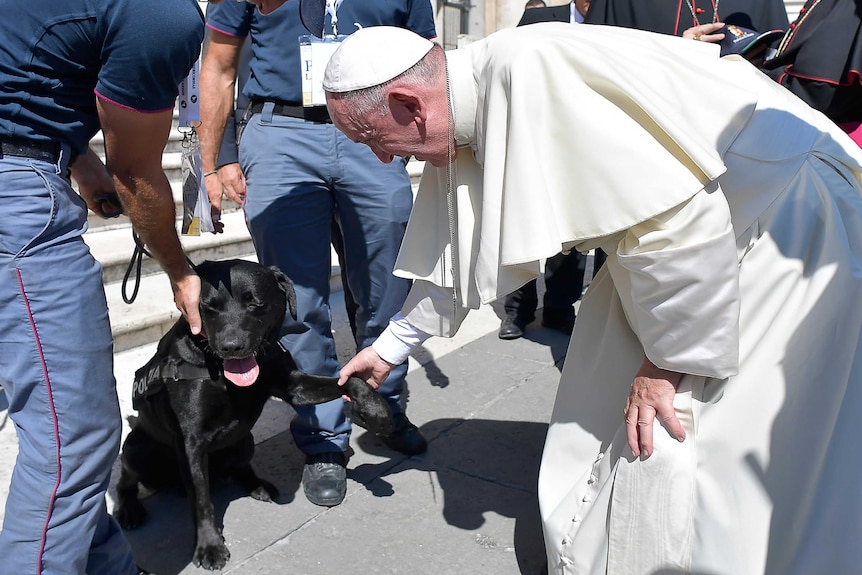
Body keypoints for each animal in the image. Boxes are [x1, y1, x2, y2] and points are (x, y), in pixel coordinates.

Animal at [113, 260, 394, 572]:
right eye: (208, 307)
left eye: (255, 304)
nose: (231, 346)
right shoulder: (191, 441)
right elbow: (201, 498)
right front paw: (209, 545)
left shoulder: (295, 387)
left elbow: (351, 380)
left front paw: (377, 409)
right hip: (136, 450)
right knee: (125, 482)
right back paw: (130, 510)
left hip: (244, 440)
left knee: (241, 467)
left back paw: (258, 485)